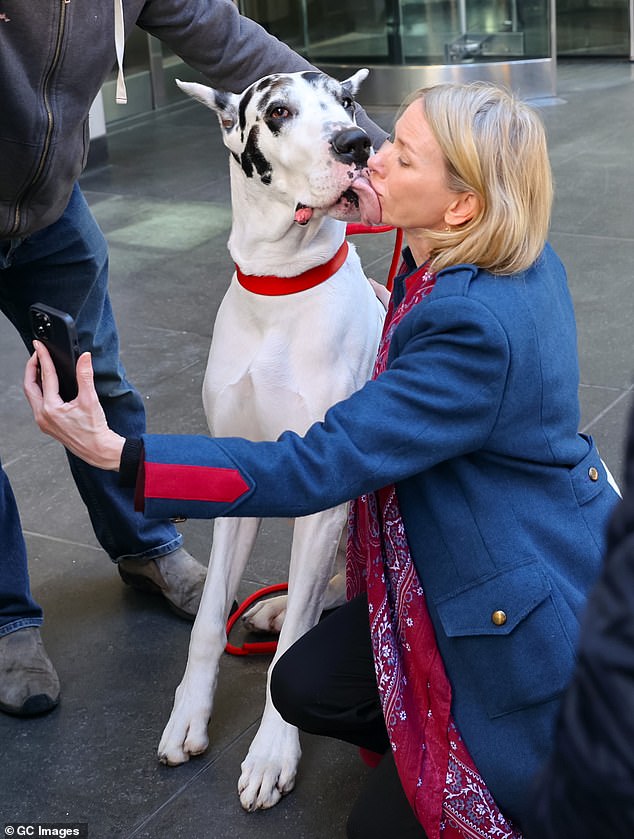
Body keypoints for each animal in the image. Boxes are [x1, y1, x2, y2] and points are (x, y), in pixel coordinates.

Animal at [158, 72, 386, 812]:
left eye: (346, 102)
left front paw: (270, 754)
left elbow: (290, 658)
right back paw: (279, 603)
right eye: (278, 110)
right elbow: (207, 623)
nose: (356, 143)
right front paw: (187, 717)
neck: (279, 291)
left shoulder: (325, 500)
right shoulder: (241, 481)